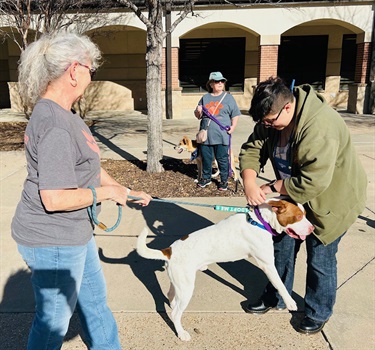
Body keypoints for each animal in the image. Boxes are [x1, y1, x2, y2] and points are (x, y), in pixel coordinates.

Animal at [137, 198, 314, 340]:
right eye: (299, 216)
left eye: (305, 214)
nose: (312, 229)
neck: (259, 220)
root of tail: (169, 251)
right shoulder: (268, 264)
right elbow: (280, 284)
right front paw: (290, 302)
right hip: (186, 287)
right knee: (175, 313)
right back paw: (181, 333)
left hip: (179, 282)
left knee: (170, 296)